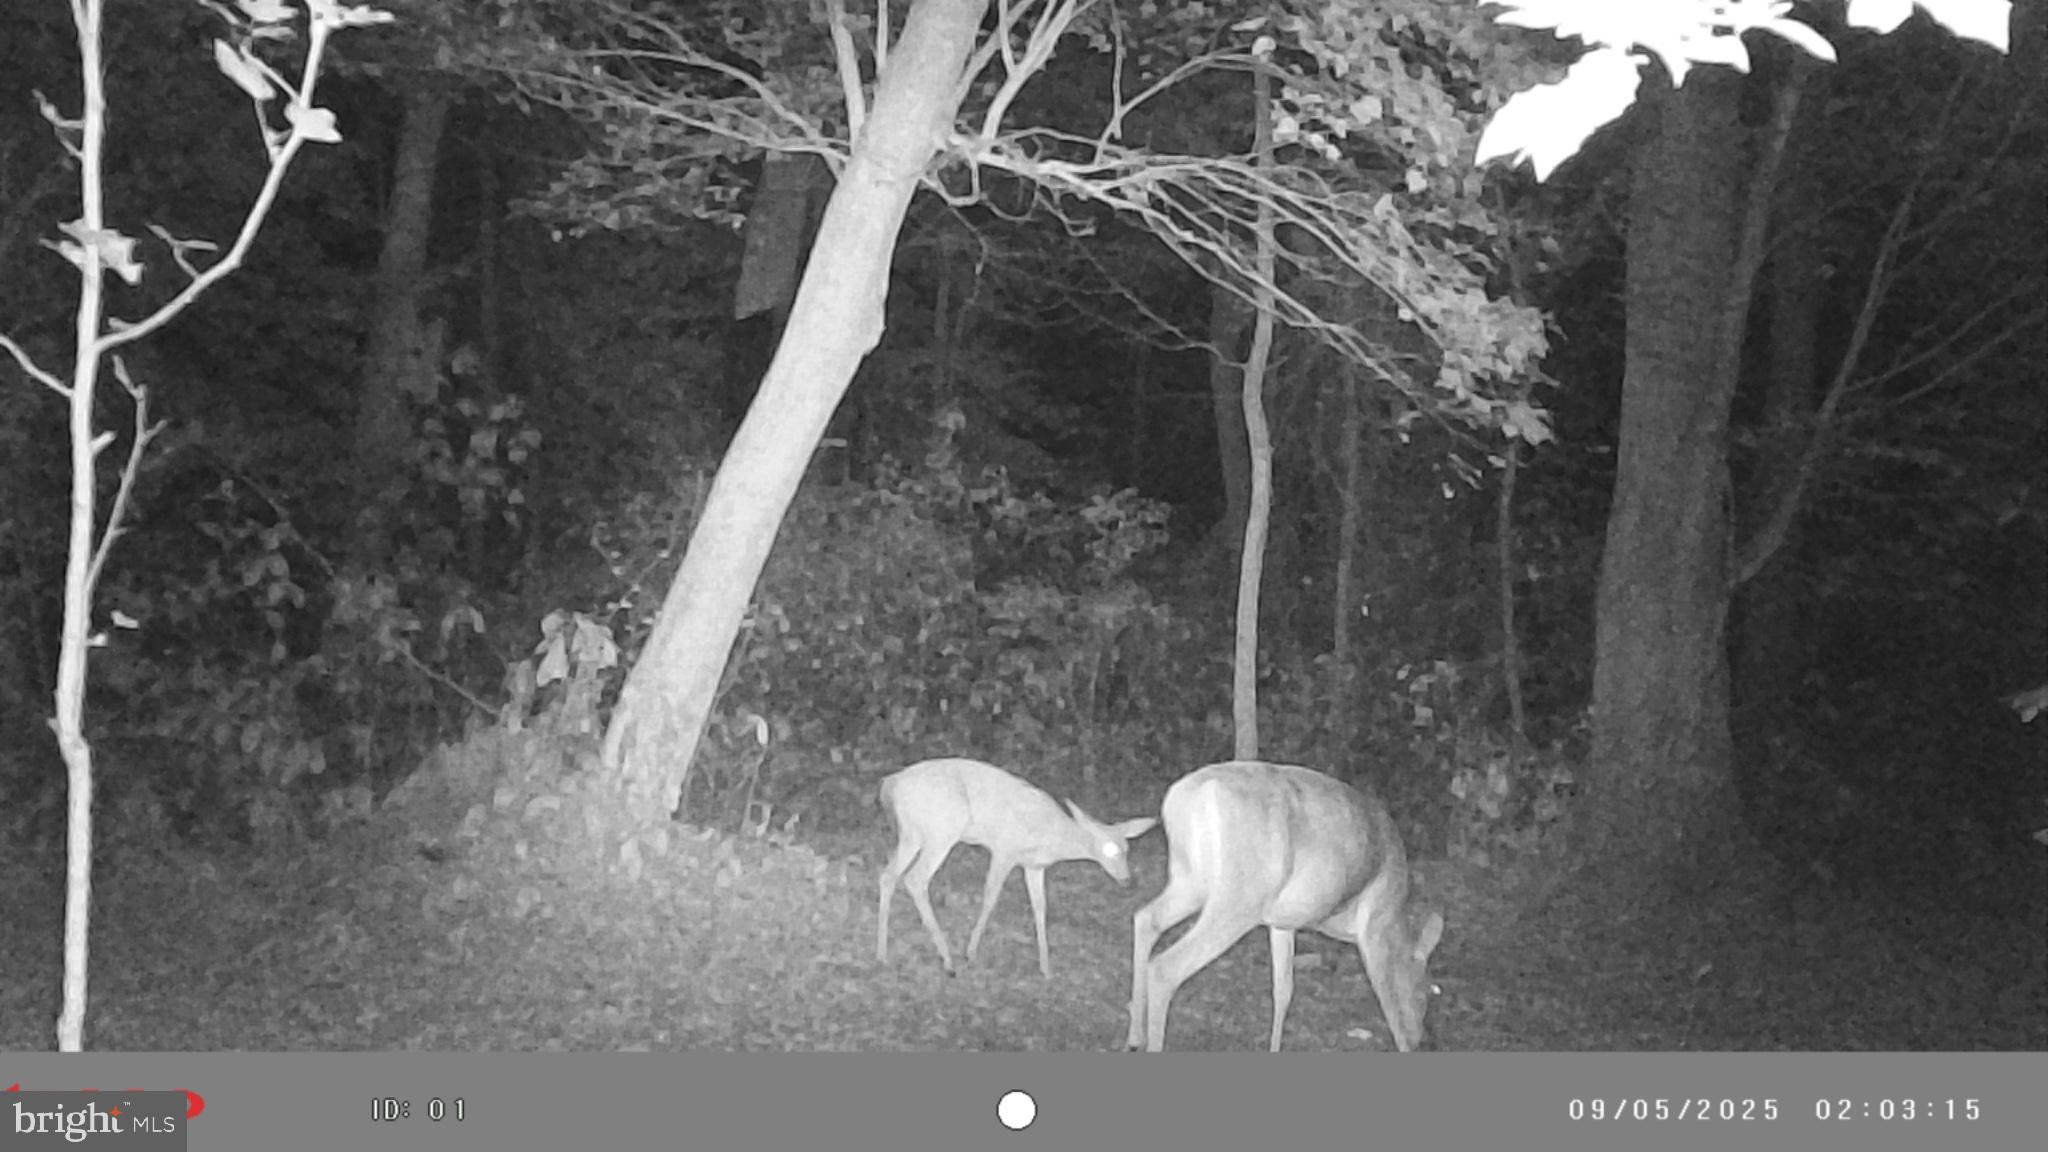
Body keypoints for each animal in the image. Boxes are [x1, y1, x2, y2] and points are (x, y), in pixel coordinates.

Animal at [876, 757, 1158, 980]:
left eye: (1127, 850)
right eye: (1109, 850)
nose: (1128, 880)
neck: (1052, 838)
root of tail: (890, 783)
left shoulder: (1033, 866)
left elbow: (1040, 908)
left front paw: (1046, 968)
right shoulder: (1004, 850)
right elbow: (990, 898)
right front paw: (971, 953)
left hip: (913, 834)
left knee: (888, 875)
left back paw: (882, 953)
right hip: (942, 832)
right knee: (915, 879)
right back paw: (948, 961)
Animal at [1127, 760, 1445, 1052]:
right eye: (1427, 993)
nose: (1424, 1039)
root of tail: (1185, 798)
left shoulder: (1283, 921)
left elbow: (1284, 989)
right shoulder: (1375, 924)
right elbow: (1388, 1000)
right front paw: (1405, 1042)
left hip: (1191, 879)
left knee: (1146, 918)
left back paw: (1134, 1036)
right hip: (1240, 896)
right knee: (1166, 967)